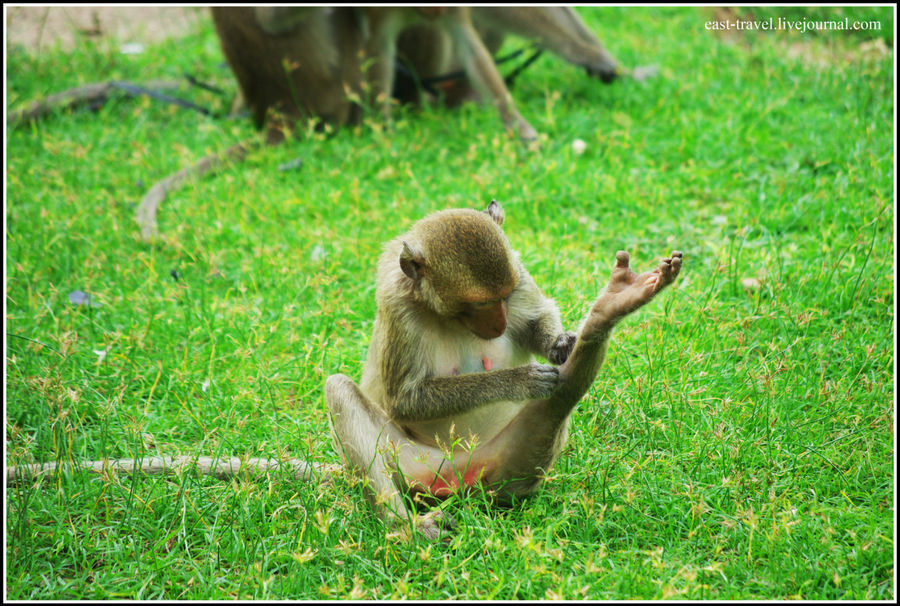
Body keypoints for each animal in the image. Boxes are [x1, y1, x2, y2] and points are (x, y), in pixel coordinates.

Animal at [326, 201, 684, 540]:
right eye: (475, 306)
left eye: (505, 296)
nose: (499, 323)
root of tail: (458, 482)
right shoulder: (397, 304)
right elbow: (405, 400)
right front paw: (517, 381)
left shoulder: (518, 272)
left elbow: (535, 321)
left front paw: (560, 344)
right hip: (409, 465)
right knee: (339, 389)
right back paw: (405, 526)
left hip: (508, 466)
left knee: (559, 401)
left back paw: (607, 312)